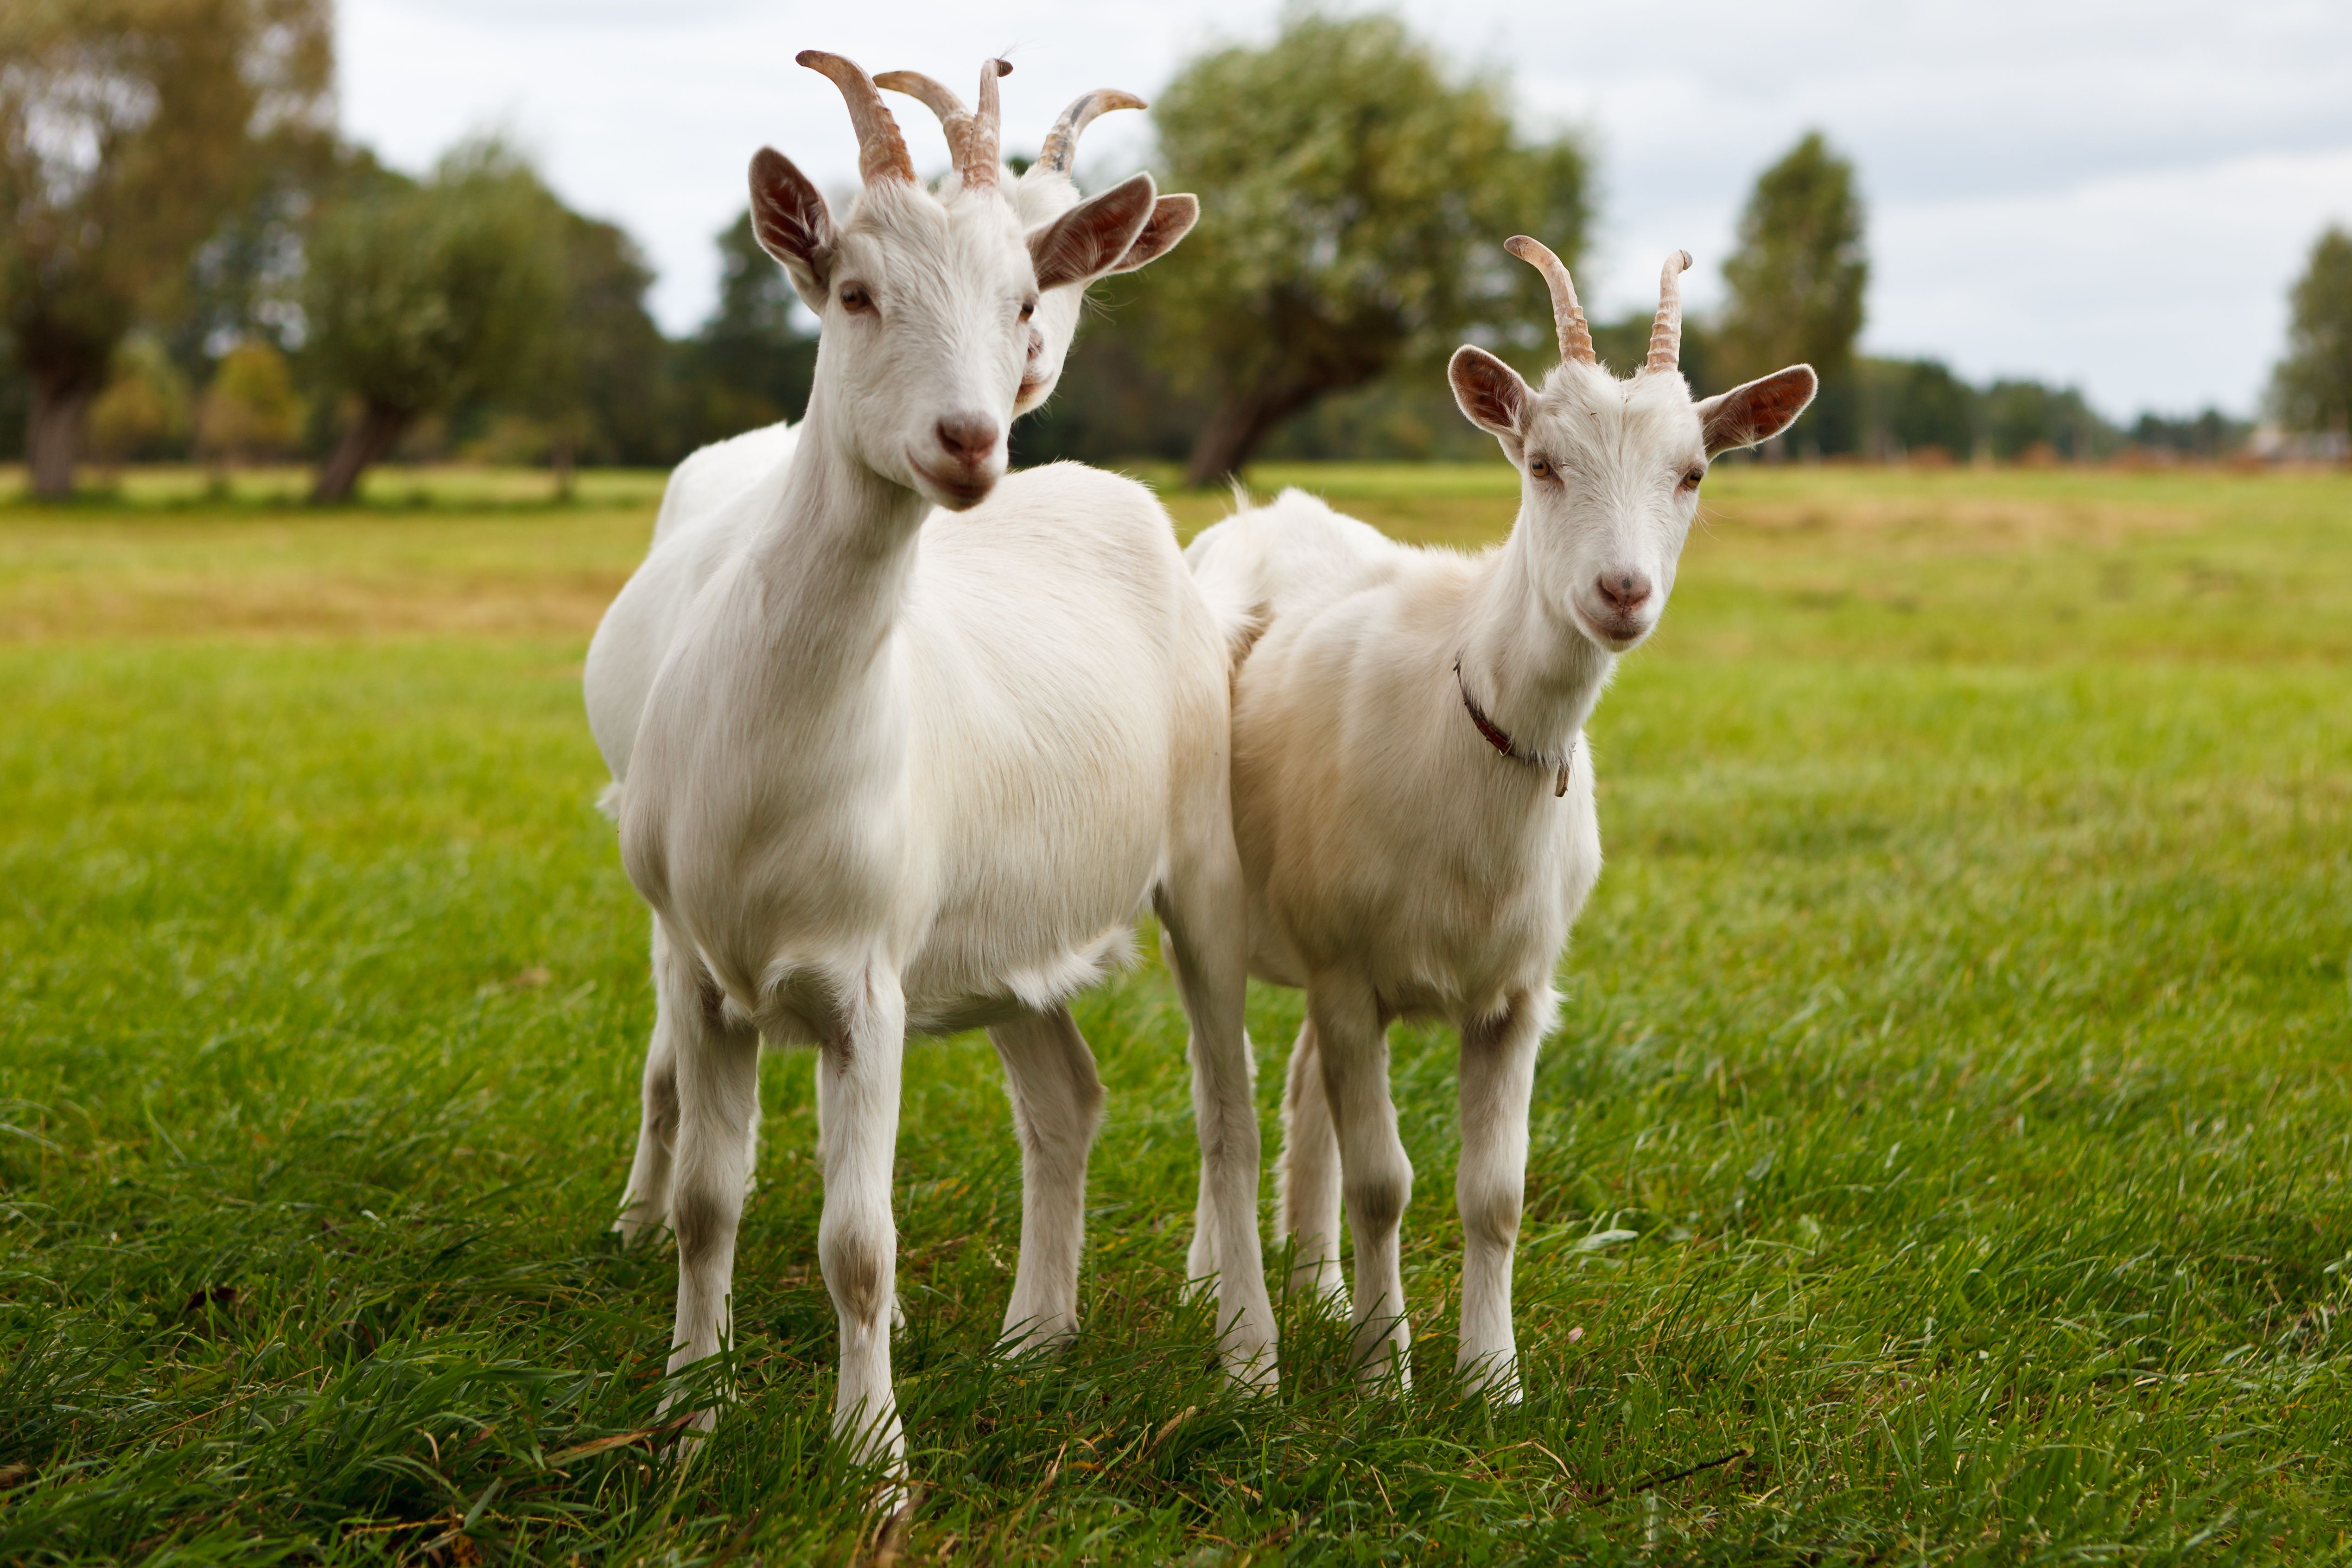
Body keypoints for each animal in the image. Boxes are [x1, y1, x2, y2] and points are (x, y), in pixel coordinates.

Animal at [588, 54, 1274, 1465]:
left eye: (1027, 291)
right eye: (855, 290)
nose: (971, 435)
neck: (775, 755)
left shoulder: (868, 977)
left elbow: (858, 1240)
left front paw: (871, 1459)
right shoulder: (707, 961)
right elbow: (710, 1201)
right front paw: (688, 1418)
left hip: (1203, 866)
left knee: (1223, 1106)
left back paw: (1245, 1364)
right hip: (1007, 927)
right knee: (1065, 1095)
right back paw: (1035, 1337)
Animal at [1185, 238, 1817, 1397]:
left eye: (1692, 473)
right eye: (1541, 462)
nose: (1621, 591)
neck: (1465, 718)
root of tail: (1259, 510)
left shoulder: (1516, 990)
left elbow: (1496, 1190)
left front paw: (1489, 1378)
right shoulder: (1351, 973)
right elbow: (1383, 1180)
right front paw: (1382, 1377)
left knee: (1297, 1092)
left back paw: (1315, 1286)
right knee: (1231, 1098)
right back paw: (1221, 1290)